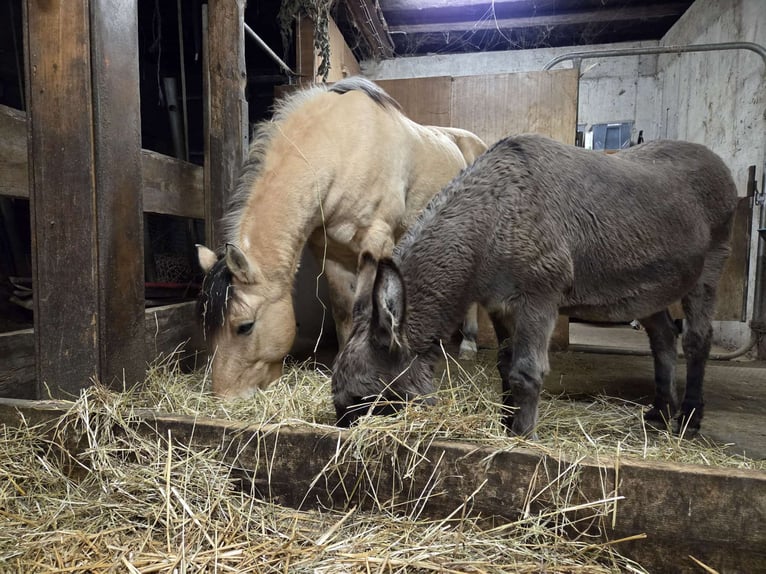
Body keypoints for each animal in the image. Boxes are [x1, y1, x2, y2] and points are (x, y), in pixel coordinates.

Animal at [196, 77, 487, 398]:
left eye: (245, 326)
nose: (226, 396)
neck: (343, 148)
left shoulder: (377, 243)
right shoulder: (332, 253)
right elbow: (343, 310)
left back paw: (468, 344)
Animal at [332, 134, 738, 437]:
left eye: (365, 399)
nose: (342, 433)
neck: (493, 217)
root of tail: (716, 161)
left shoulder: (540, 296)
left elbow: (526, 371)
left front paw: (523, 436)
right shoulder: (500, 305)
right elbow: (504, 366)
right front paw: (504, 424)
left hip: (710, 266)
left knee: (697, 338)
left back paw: (690, 417)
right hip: (648, 291)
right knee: (664, 338)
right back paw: (660, 411)